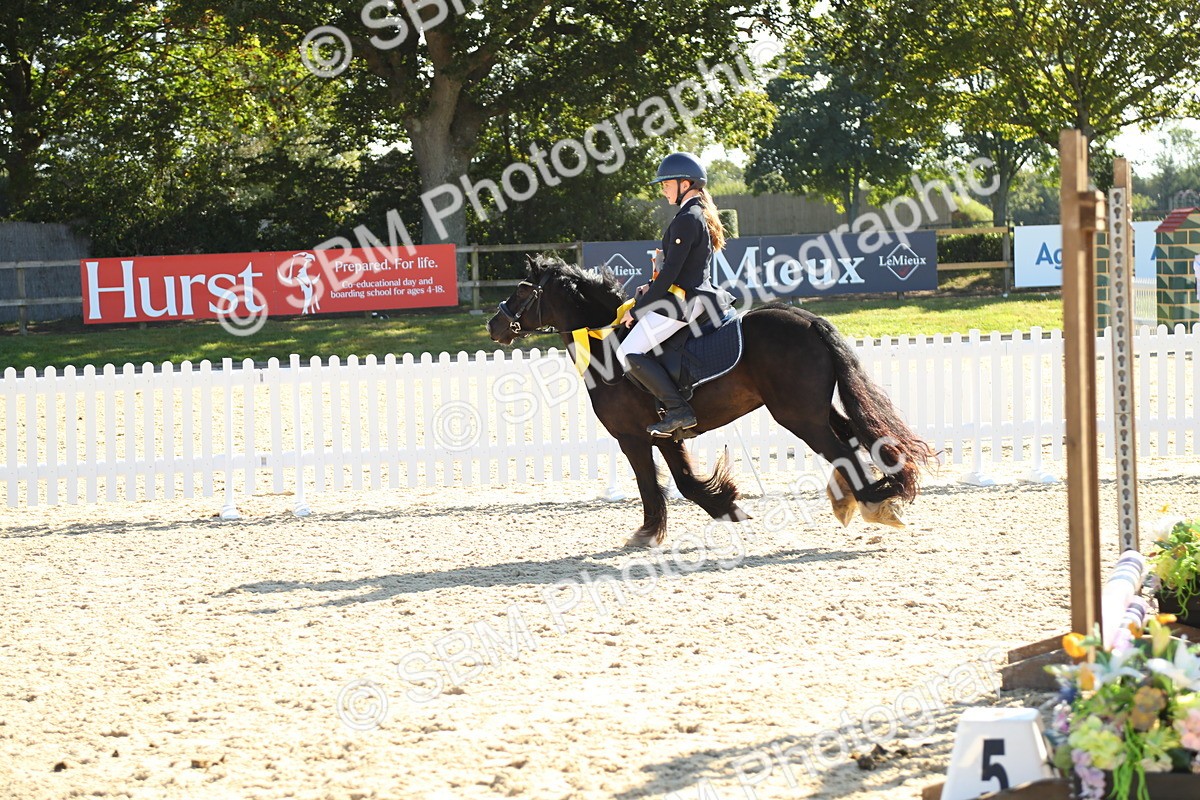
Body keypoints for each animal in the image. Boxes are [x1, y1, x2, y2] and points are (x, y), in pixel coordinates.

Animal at [486, 256, 935, 548]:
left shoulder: (632, 436)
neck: (606, 343)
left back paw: (873, 504)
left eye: (523, 289)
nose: (494, 325)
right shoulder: (666, 434)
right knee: (854, 439)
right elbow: (683, 481)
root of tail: (806, 320)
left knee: (841, 448)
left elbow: (652, 484)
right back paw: (856, 499)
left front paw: (647, 534)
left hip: (798, 415)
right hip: (816, 408)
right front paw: (727, 505)